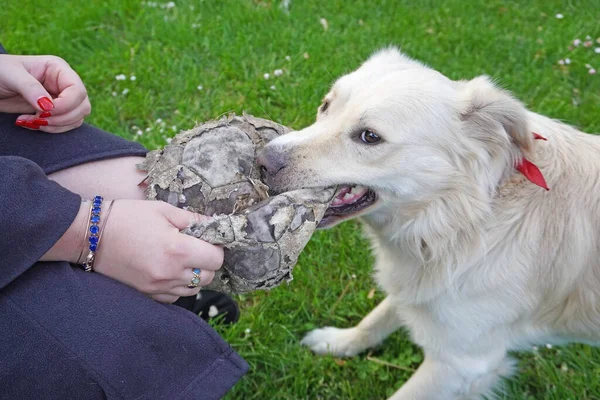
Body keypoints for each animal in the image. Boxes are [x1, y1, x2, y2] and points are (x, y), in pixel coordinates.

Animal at [256, 48, 600, 398]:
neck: (460, 222)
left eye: (370, 137)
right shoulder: (416, 286)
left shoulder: (462, 364)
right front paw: (339, 342)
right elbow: (375, 319)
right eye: (326, 105)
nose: (261, 162)